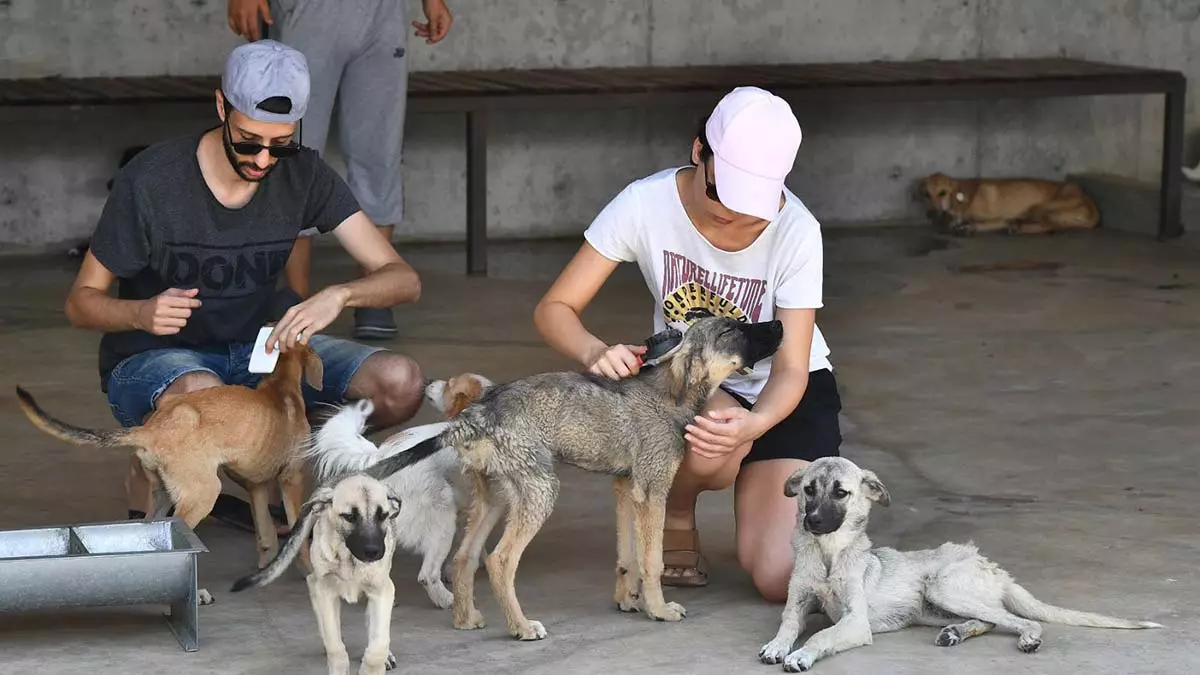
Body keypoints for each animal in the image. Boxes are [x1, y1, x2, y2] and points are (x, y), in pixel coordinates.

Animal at [231, 470, 405, 672]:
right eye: (350, 517)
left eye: (383, 516)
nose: (373, 551)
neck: (348, 559)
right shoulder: (325, 590)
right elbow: (336, 647)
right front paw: (338, 663)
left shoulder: (382, 590)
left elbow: (378, 643)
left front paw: (377, 661)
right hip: (316, 584)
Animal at [304, 369, 492, 607]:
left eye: (449, 385)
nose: (429, 381)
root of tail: (382, 455)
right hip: (442, 517)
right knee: (427, 574)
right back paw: (448, 600)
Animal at [360, 317, 782, 638]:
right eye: (731, 329)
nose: (780, 324)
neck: (671, 392)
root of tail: (478, 414)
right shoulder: (652, 490)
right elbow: (651, 560)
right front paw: (658, 609)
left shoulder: (626, 488)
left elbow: (627, 555)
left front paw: (628, 600)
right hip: (540, 491)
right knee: (499, 560)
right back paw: (521, 627)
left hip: (496, 496)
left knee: (464, 557)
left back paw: (465, 619)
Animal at [758, 454, 1161, 667]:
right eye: (808, 490)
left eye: (841, 493)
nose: (812, 522)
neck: (829, 554)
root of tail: (993, 567)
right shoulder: (798, 603)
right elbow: (788, 626)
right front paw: (779, 646)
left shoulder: (856, 623)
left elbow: (823, 633)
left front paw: (802, 655)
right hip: (933, 606)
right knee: (987, 619)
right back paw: (955, 633)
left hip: (944, 588)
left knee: (1014, 619)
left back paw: (1027, 637)